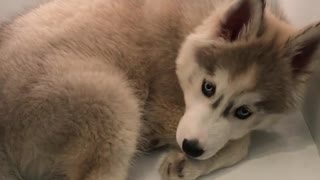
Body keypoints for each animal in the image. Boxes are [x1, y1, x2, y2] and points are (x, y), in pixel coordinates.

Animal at [0, 0, 320, 179]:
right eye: (208, 87)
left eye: (244, 112)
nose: (191, 148)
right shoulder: (163, 106)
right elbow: (242, 143)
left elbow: (237, 137)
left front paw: (188, 163)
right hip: (114, 102)